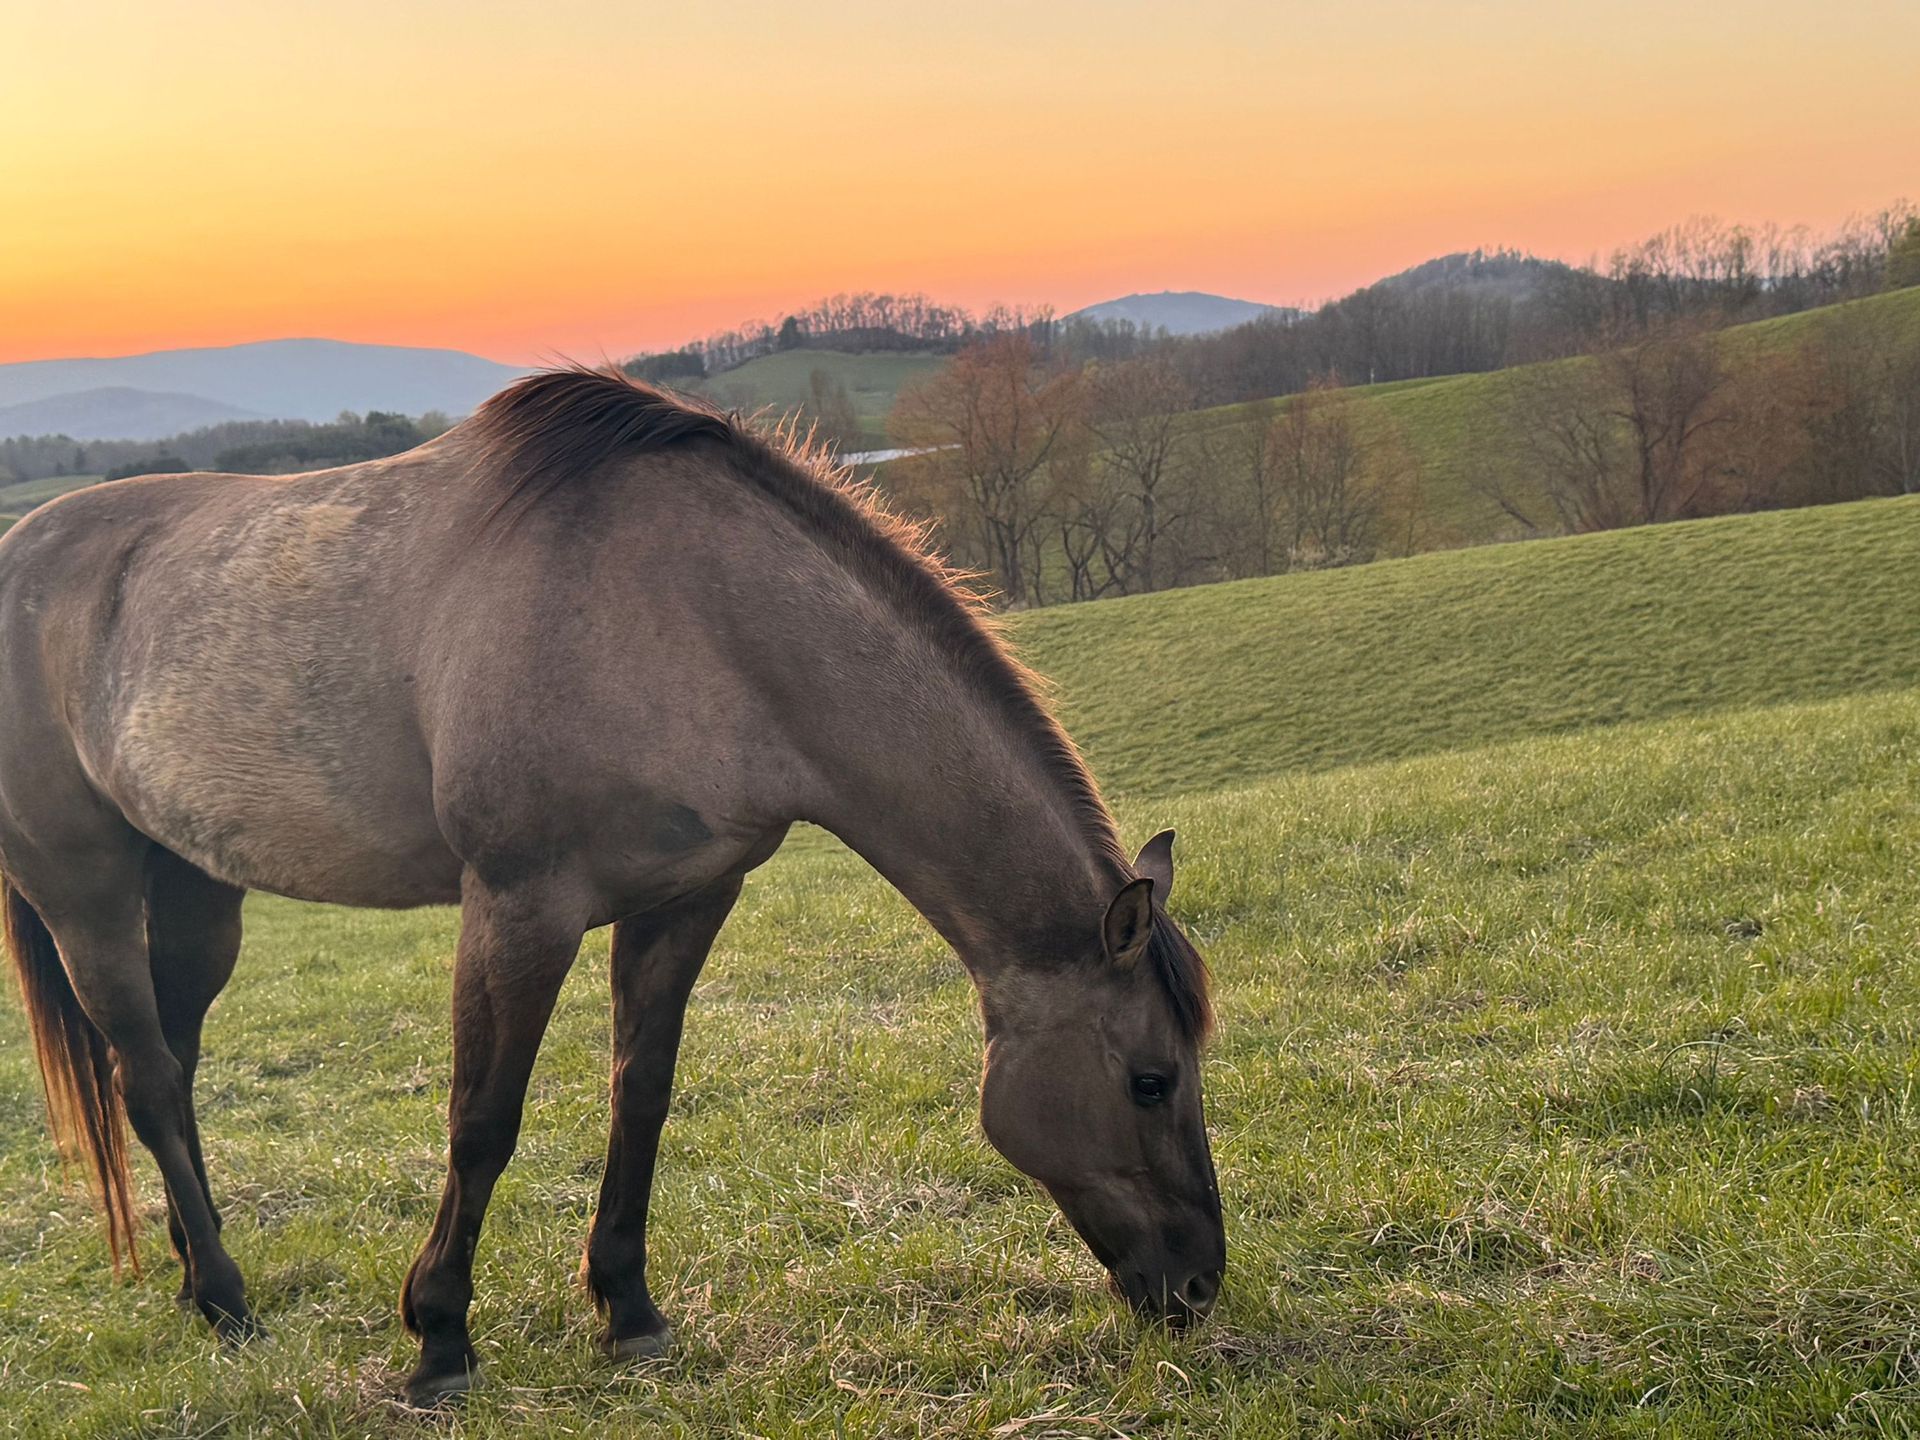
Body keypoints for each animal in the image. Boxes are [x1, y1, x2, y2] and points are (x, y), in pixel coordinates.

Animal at [0, 367, 1223, 1406]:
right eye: (1150, 1080)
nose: (1200, 1284)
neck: (696, 618)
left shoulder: (686, 899)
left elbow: (643, 1093)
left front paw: (628, 1310)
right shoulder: (518, 908)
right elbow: (482, 1117)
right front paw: (439, 1336)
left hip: (197, 887)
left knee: (174, 1059)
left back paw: (192, 1278)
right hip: (84, 890)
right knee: (148, 1079)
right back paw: (225, 1298)